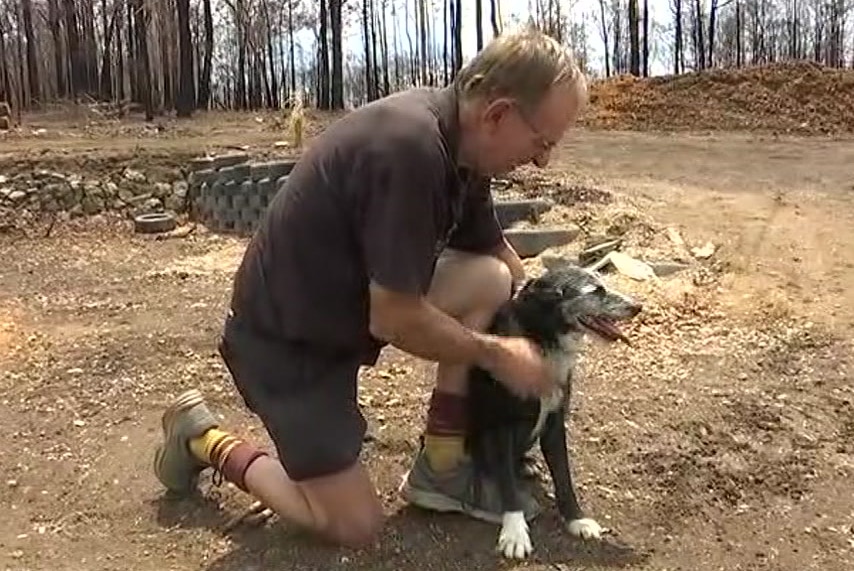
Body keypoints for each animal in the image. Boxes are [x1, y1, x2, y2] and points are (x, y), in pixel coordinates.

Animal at [464, 264, 644, 560]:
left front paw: (576, 520)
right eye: (596, 291)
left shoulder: (555, 423)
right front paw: (515, 532)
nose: (638, 306)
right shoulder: (502, 425)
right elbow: (508, 485)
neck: (542, 340)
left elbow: (564, 477)